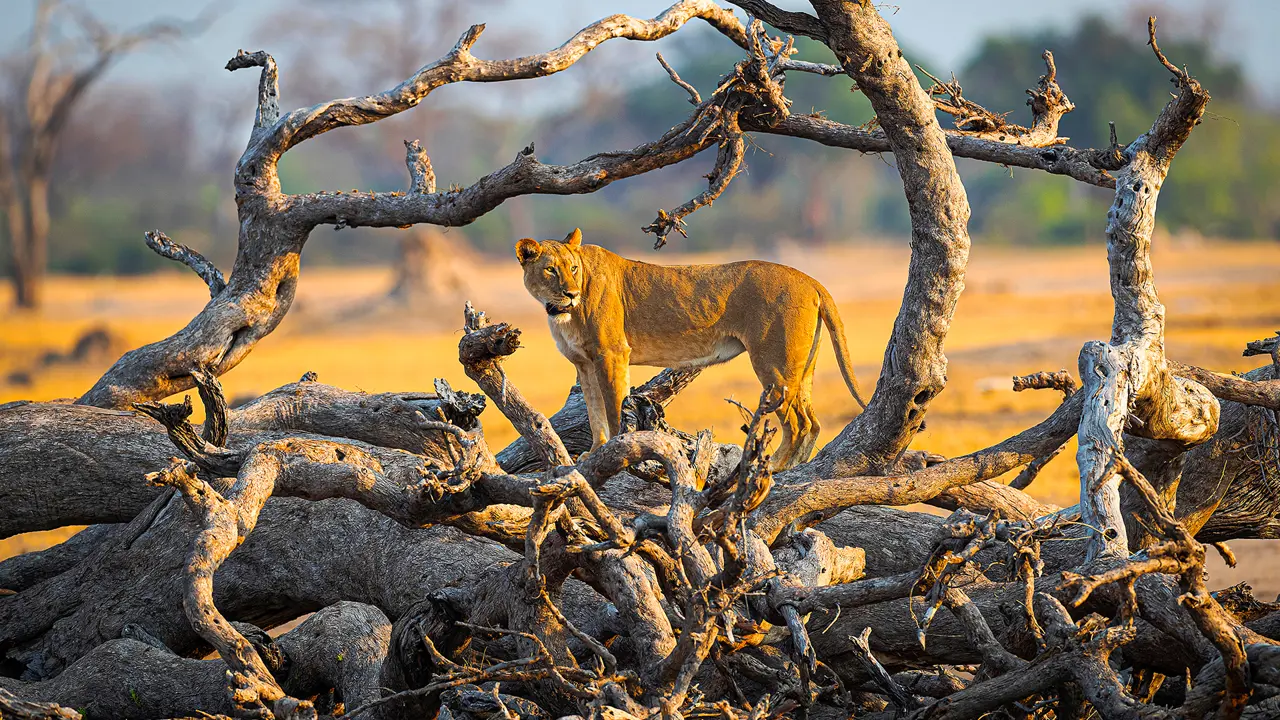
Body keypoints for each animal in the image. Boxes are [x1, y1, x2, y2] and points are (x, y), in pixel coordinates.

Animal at [516, 228, 868, 470]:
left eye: (573, 268)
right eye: (551, 269)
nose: (572, 293)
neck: (561, 312)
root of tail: (810, 280)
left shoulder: (612, 353)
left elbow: (614, 408)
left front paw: (617, 452)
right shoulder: (584, 363)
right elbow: (594, 410)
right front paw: (594, 451)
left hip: (774, 366)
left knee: (798, 424)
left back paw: (776, 468)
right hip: (801, 368)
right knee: (813, 421)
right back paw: (794, 468)